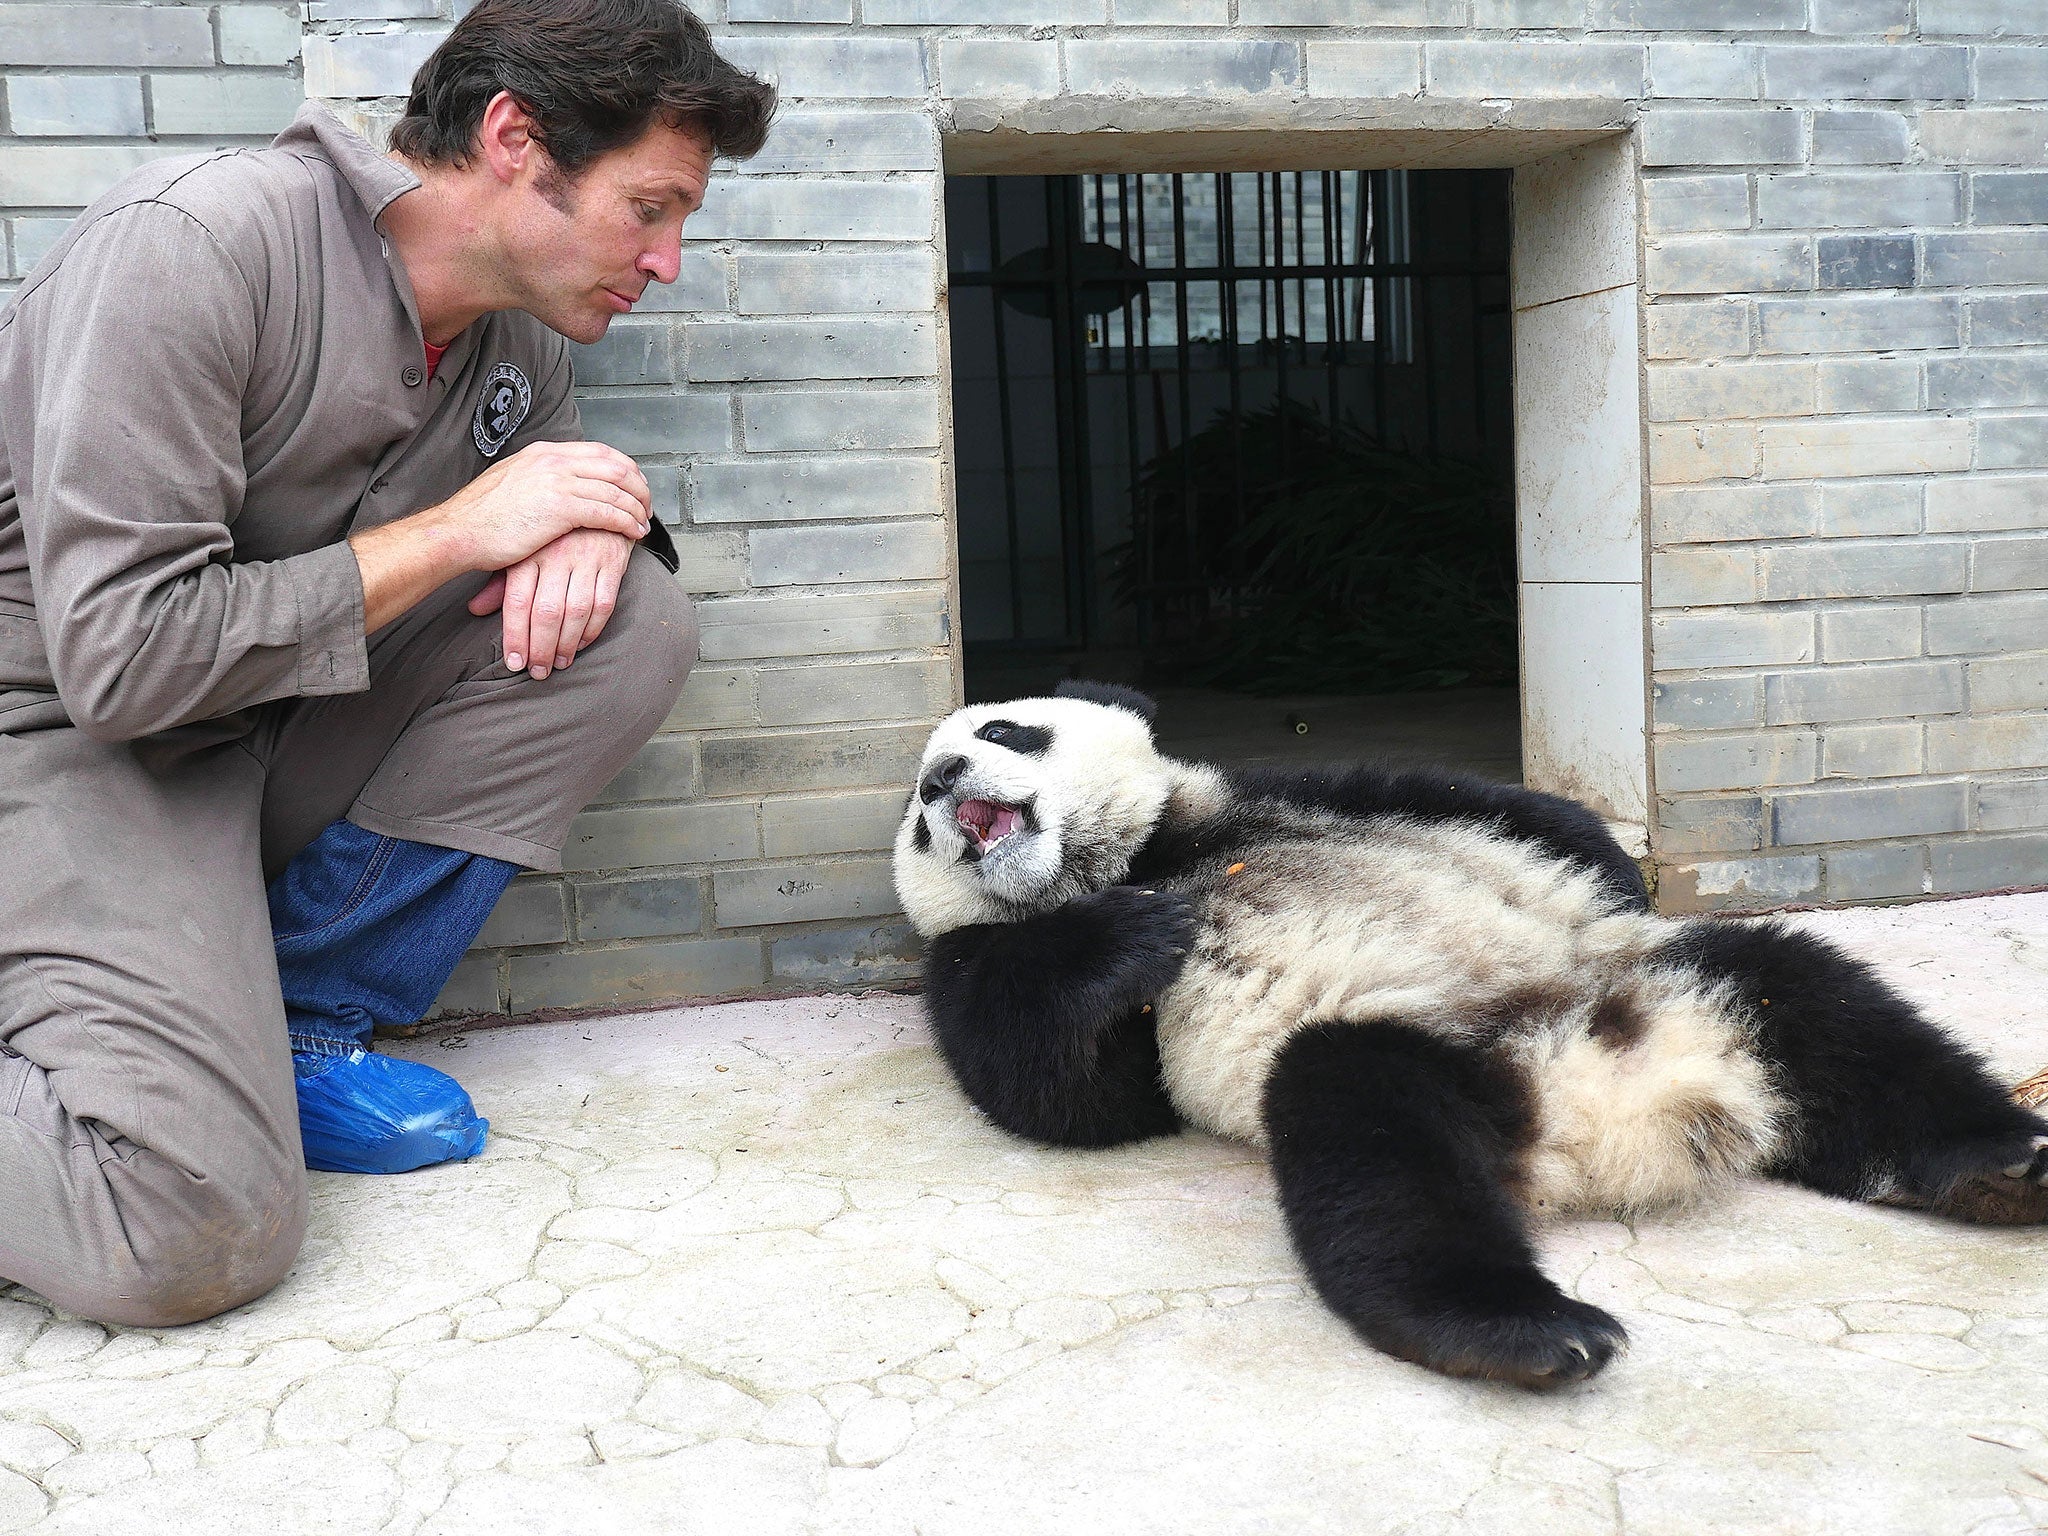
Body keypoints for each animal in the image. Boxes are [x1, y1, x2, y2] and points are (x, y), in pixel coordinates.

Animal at [892, 684, 2048, 1392]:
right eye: (916, 819)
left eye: (1005, 733)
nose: (943, 784)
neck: (1138, 856)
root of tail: (1633, 1102)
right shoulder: (978, 966)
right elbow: (1063, 1091)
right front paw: (1137, 938)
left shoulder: (1272, 797)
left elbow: (1499, 810)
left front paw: (1613, 875)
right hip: (1434, 1056)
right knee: (1371, 1136)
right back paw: (1524, 1331)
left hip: (1668, 980)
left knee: (1820, 1006)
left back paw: (1999, 1165)